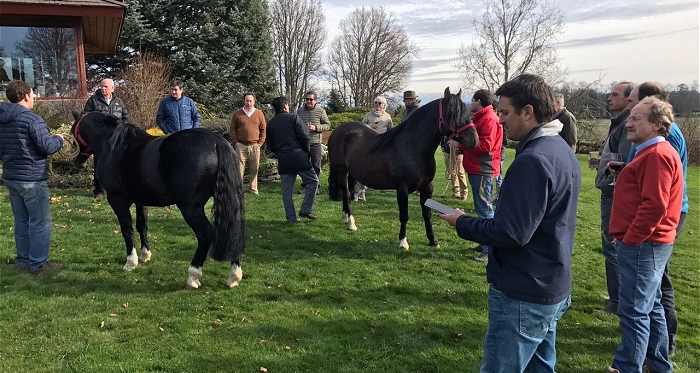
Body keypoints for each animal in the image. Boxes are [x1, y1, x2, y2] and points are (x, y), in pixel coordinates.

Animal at [71, 112, 246, 290]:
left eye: (73, 131)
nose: (78, 162)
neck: (115, 145)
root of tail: (217, 142)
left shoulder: (117, 200)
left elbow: (127, 230)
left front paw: (131, 262)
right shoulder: (141, 200)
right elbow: (142, 226)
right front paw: (145, 255)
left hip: (190, 208)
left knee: (205, 234)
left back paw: (193, 275)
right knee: (233, 230)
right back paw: (234, 276)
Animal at [326, 88, 476, 250]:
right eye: (453, 112)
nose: (474, 140)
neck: (414, 146)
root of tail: (338, 131)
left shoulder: (427, 187)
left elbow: (427, 214)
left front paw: (433, 240)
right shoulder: (402, 189)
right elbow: (404, 215)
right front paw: (403, 242)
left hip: (354, 174)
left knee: (348, 194)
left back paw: (346, 218)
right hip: (341, 171)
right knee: (347, 194)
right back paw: (351, 224)